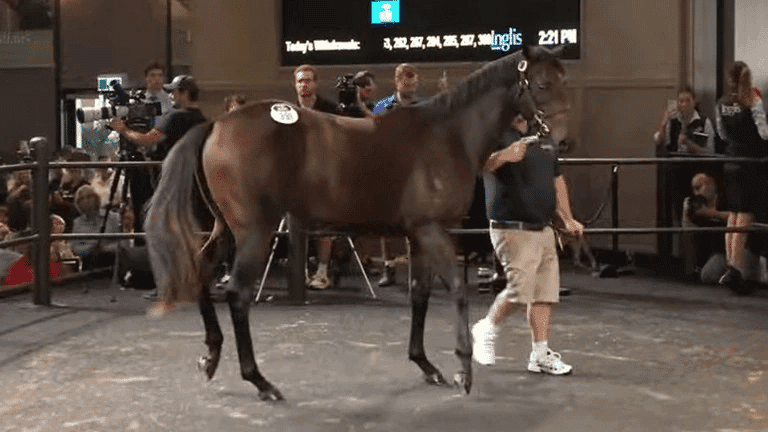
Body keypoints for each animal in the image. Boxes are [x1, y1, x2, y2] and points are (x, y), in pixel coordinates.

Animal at [144, 45, 569, 401]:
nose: (561, 142)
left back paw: (211, 357)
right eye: (542, 84)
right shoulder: (433, 232)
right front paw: (463, 371)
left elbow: (419, 295)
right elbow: (458, 293)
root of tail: (216, 126)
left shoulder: (418, 237)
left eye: (561, 81)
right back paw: (260, 381)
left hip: (226, 230)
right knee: (237, 295)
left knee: (200, 271)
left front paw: (426, 365)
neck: (447, 136)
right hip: (254, 233)